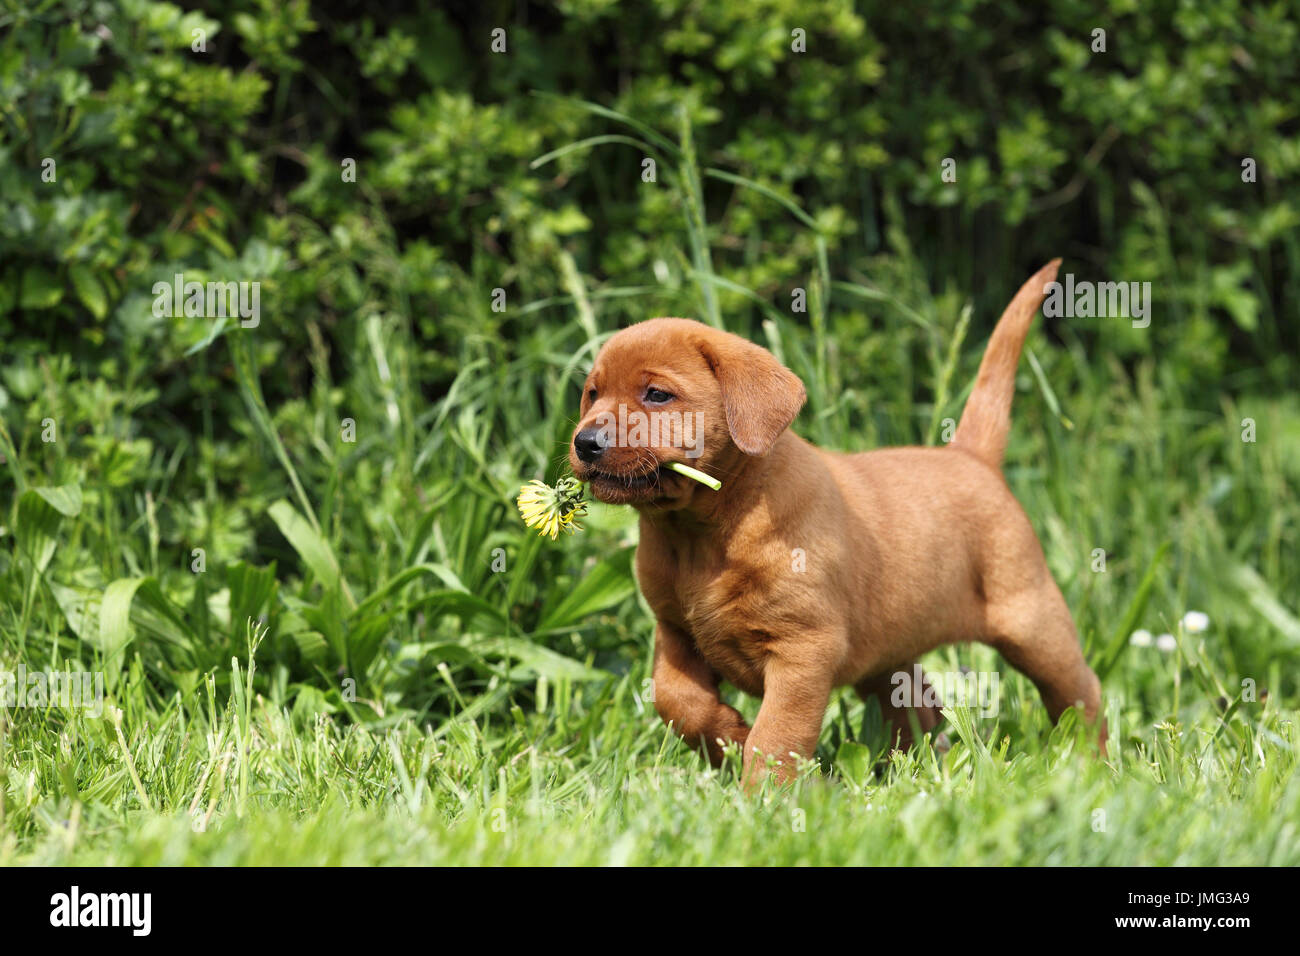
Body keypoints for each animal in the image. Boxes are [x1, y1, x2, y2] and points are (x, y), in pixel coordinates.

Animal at [564, 261, 1102, 785]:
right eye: (592, 394)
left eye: (657, 394)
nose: (585, 443)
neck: (701, 529)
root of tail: (971, 457)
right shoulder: (674, 632)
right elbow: (677, 702)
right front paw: (728, 739)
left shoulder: (804, 650)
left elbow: (777, 736)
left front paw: (764, 797)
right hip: (888, 652)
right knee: (918, 707)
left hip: (1030, 620)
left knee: (1081, 691)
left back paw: (1091, 760)